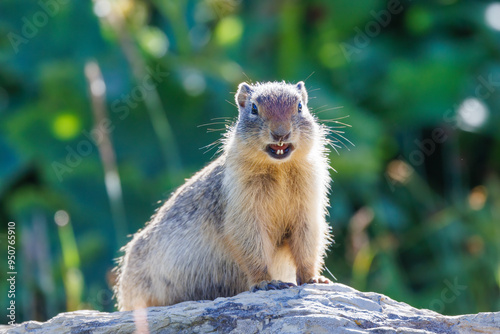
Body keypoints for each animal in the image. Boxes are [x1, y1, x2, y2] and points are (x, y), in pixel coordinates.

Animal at [113, 80, 332, 310]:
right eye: (254, 108)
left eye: (300, 107)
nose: (280, 133)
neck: (279, 168)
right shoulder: (242, 207)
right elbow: (251, 243)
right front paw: (266, 283)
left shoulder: (309, 205)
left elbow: (307, 241)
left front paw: (314, 278)